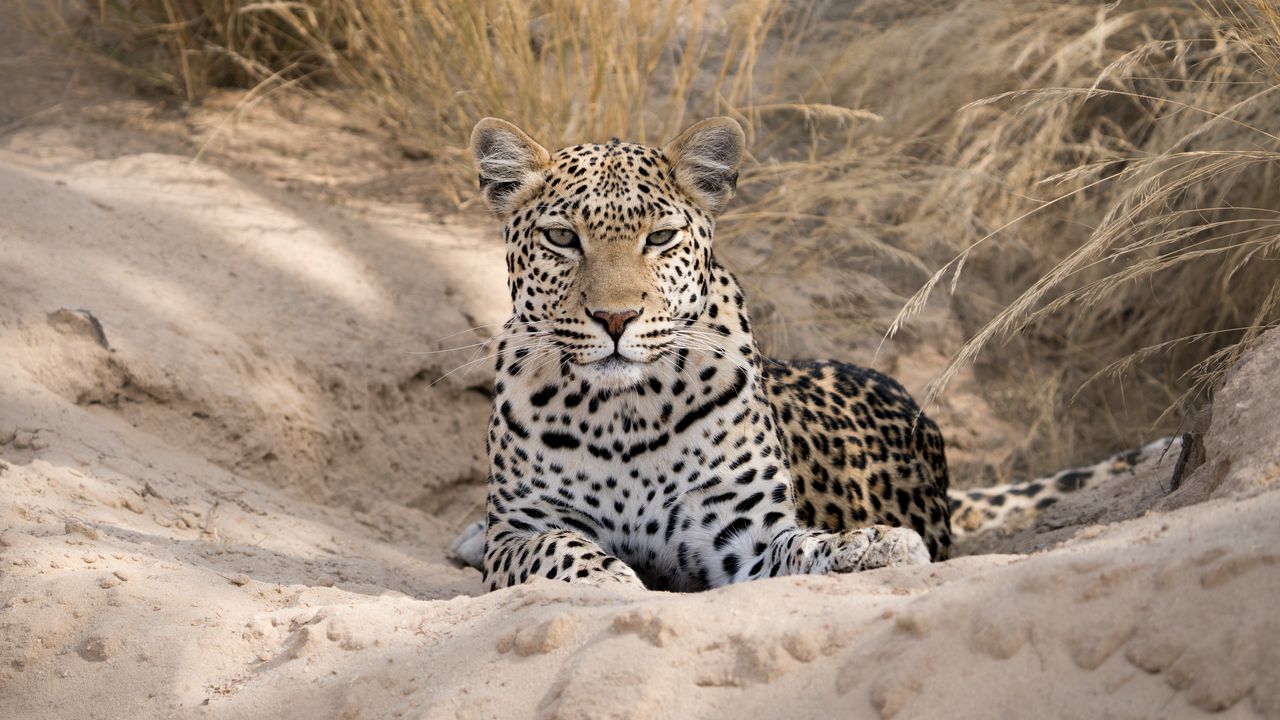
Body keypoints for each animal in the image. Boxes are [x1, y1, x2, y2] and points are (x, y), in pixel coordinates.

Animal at [447, 116, 1176, 592]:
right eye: (561, 238)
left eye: (659, 238)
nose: (616, 318)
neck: (622, 414)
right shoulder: (526, 528)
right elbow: (563, 550)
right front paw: (613, 581)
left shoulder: (741, 537)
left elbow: (808, 549)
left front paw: (879, 543)